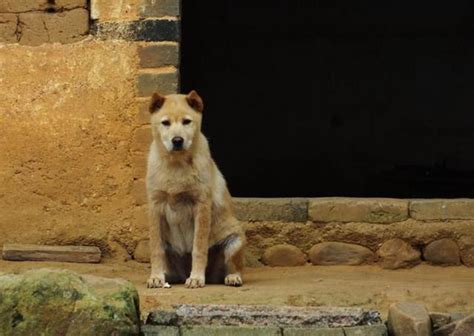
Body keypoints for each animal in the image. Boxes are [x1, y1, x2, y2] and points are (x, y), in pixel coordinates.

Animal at [145, 90, 246, 288]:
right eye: (165, 123)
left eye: (187, 121)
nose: (177, 141)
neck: (176, 165)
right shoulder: (155, 207)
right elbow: (155, 249)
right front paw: (156, 276)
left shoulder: (201, 206)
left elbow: (199, 248)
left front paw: (197, 278)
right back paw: (168, 277)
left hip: (235, 240)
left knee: (232, 266)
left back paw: (231, 277)